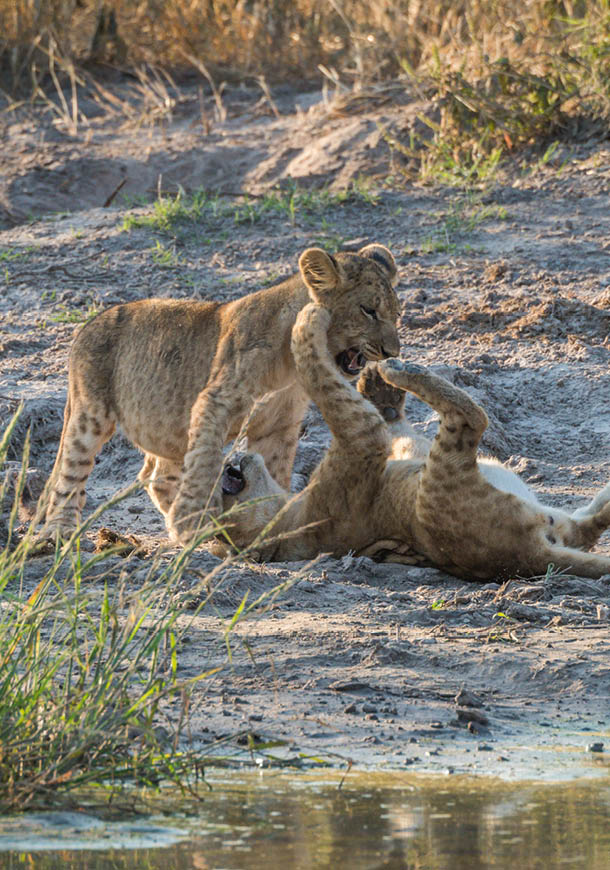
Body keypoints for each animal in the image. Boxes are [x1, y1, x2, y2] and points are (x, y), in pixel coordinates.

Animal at [41, 244, 400, 543]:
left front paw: (271, 516)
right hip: (90, 413)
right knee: (71, 472)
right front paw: (191, 520)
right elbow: (206, 458)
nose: (392, 351)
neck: (288, 368)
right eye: (368, 310)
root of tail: (87, 325)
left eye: (396, 314)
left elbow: (274, 469)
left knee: (156, 475)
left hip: (166, 425)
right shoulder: (216, 400)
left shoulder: (278, 426)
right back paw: (59, 530)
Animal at [218, 303, 610, 580]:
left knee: (588, 528)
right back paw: (403, 371)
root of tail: (527, 559)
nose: (226, 467)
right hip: (436, 486)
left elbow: (399, 430)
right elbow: (320, 377)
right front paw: (309, 318)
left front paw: (378, 387)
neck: (285, 521)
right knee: (471, 417)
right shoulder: (361, 439)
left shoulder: (384, 449)